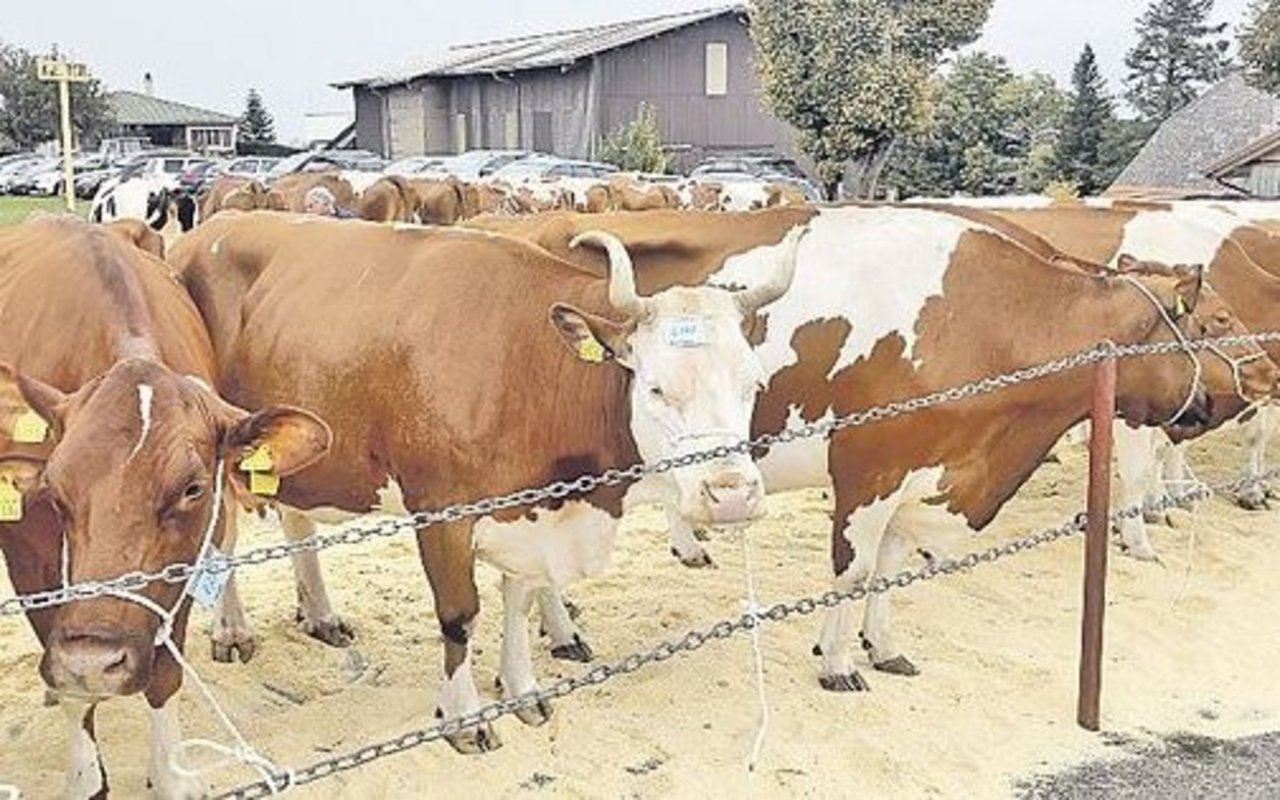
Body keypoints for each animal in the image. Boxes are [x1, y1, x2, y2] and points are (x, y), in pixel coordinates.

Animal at [1, 215, 330, 793]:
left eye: (192, 489)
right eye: (55, 490)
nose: (94, 660)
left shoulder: (184, 559)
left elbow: (165, 675)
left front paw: (172, 777)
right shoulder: (29, 557)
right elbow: (73, 689)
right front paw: (85, 779)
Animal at [165, 208, 793, 752]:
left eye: (755, 384)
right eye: (657, 387)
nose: (732, 494)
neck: (524, 362)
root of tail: (215, 223)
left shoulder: (530, 511)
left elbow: (518, 600)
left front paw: (523, 691)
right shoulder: (441, 512)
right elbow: (459, 616)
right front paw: (464, 718)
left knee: (297, 521)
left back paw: (319, 614)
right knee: (221, 538)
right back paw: (231, 630)